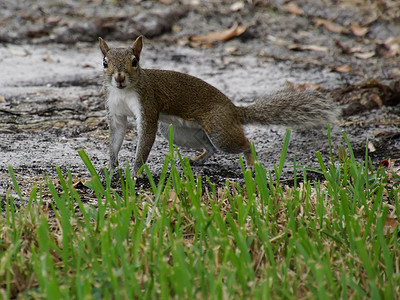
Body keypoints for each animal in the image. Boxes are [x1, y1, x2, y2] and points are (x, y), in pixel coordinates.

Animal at [98, 36, 340, 175]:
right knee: (211, 148)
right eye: (104, 63)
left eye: (135, 61)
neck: (124, 91)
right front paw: (111, 166)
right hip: (182, 133)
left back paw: (251, 163)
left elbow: (146, 137)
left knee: (244, 144)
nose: (119, 78)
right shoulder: (115, 110)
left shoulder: (148, 102)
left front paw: (135, 171)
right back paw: (197, 161)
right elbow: (116, 136)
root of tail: (234, 110)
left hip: (220, 130)